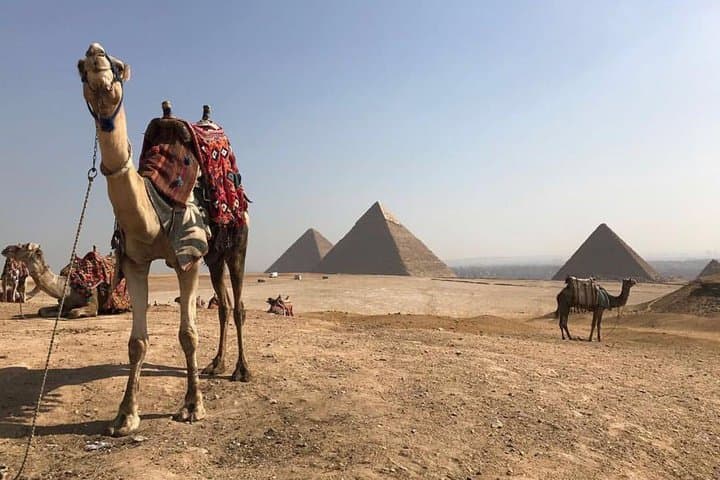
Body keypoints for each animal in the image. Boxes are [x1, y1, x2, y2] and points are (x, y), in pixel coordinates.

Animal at [78, 43, 250, 436]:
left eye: (117, 65)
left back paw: (241, 370)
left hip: (237, 246)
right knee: (224, 305)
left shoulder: (188, 257)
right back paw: (216, 365)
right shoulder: (134, 261)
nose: (95, 54)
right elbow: (136, 342)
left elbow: (188, 334)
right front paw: (125, 416)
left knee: (238, 306)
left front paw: (192, 406)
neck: (153, 207)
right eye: (80, 68)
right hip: (214, 258)